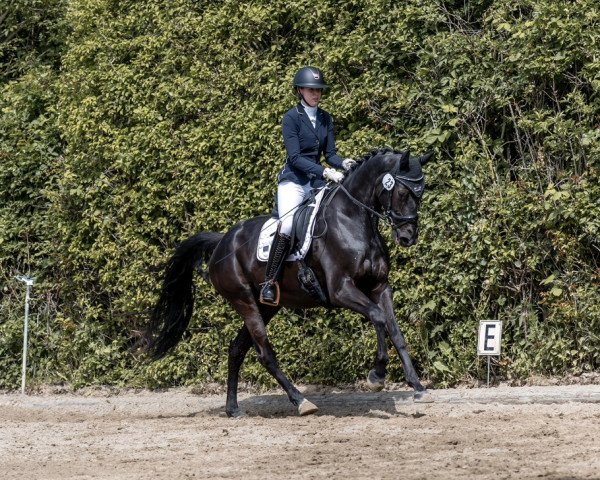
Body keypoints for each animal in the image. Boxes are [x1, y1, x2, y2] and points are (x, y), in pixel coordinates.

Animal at [143, 147, 434, 416]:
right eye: (403, 193)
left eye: (420, 194)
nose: (408, 237)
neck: (352, 219)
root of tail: (222, 242)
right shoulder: (341, 290)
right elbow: (378, 317)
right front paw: (377, 375)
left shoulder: (380, 287)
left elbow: (395, 331)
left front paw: (418, 387)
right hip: (244, 300)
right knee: (264, 353)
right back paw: (301, 401)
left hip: (266, 306)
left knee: (236, 349)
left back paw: (233, 408)